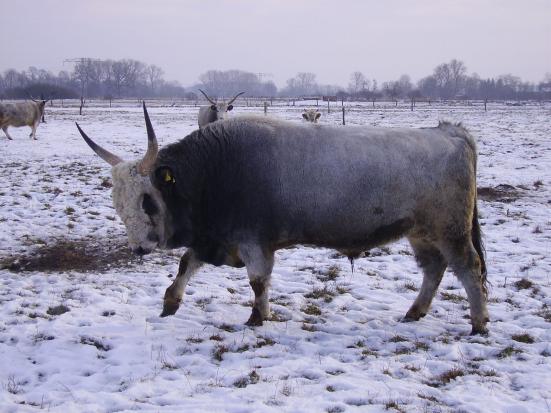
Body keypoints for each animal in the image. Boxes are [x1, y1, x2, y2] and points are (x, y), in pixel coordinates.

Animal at [75, 103, 490, 334]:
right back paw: (415, 312)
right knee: (434, 269)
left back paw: (478, 321)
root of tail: (451, 132)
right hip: (421, 233)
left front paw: (257, 317)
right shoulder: (216, 238)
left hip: (450, 230)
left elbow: (258, 282)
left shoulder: (253, 241)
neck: (215, 168)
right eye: (117, 201)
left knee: (468, 268)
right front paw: (169, 303)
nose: (138, 248)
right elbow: (186, 264)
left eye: (147, 200)